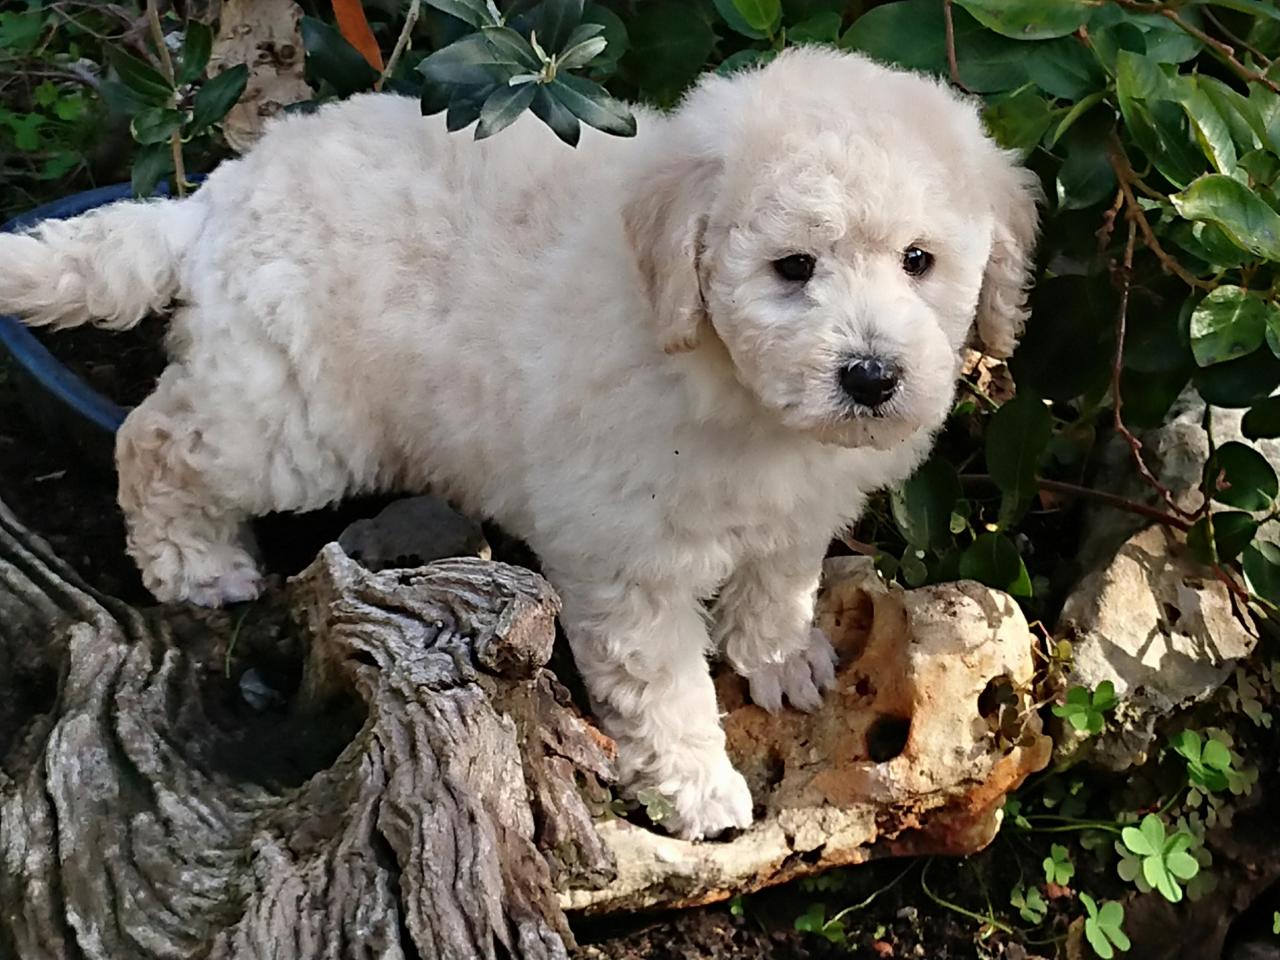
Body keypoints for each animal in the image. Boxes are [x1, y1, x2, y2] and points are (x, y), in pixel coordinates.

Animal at [0, 47, 1034, 839]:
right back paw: (194, 565)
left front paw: (780, 659)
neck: (732, 387)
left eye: (919, 261)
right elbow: (664, 686)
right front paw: (701, 790)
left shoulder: (796, 511)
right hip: (297, 415)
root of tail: (217, 196)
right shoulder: (624, 555)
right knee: (157, 440)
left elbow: (779, 578)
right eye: (792, 268)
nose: (871, 376)